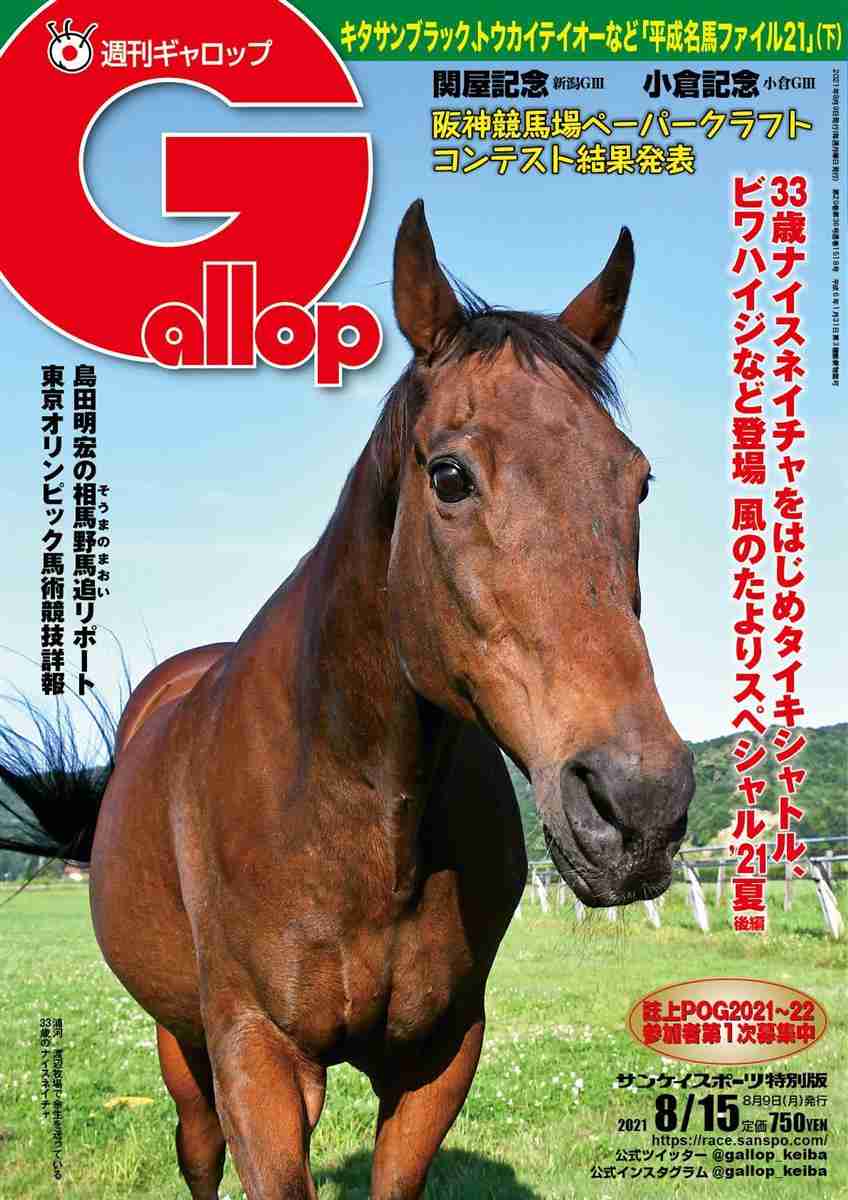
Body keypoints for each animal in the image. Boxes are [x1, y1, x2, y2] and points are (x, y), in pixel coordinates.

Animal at [0, 200, 694, 1199]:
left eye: (636, 479)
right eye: (449, 475)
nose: (638, 805)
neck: (348, 809)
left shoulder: (441, 1055)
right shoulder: (254, 1055)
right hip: (183, 1044)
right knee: (197, 1152)